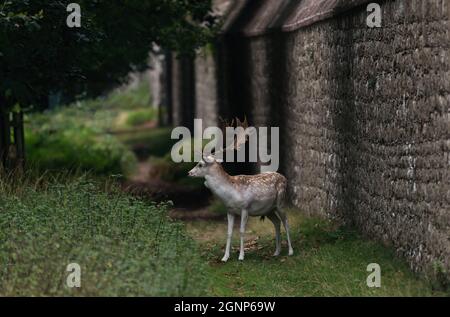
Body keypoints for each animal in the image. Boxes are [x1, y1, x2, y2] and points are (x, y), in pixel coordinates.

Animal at [185, 117, 292, 260]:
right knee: (277, 222)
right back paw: (276, 252)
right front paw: (225, 257)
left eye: (200, 164)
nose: (189, 173)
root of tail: (284, 178)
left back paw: (290, 251)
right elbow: (229, 233)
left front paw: (241, 256)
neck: (230, 193)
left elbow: (241, 231)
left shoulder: (245, 208)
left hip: (281, 202)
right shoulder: (229, 210)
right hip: (269, 209)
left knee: (286, 221)